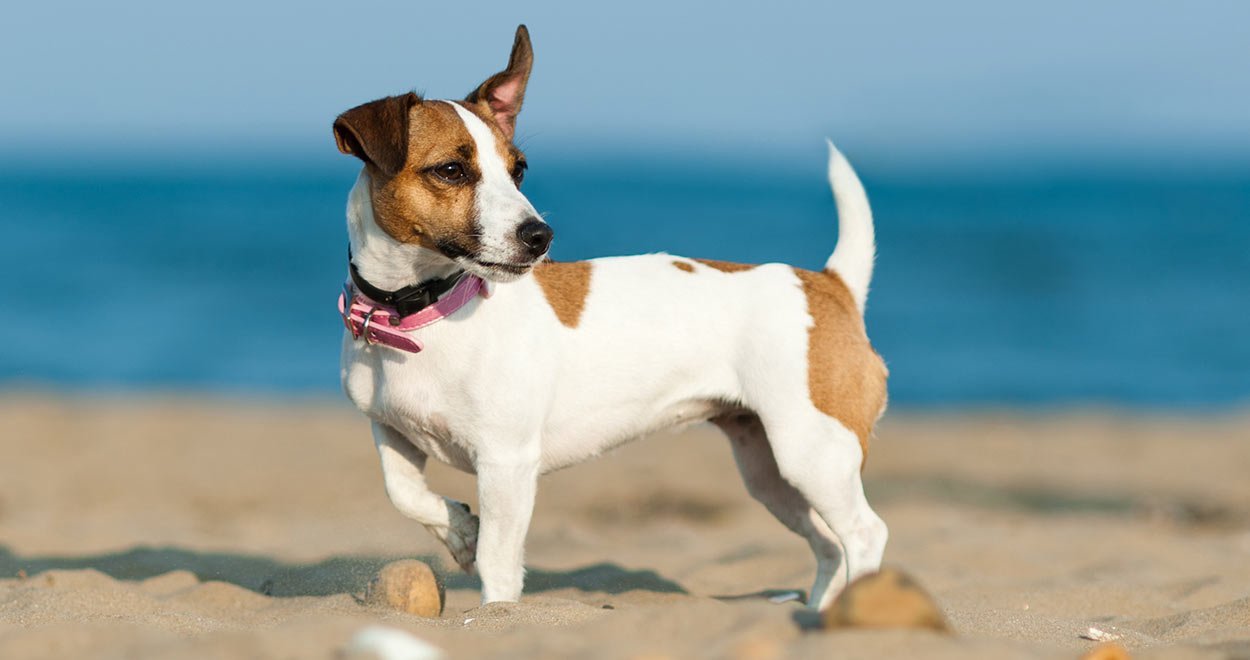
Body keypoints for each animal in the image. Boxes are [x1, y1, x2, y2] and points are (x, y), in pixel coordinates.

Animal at [335, 27, 890, 612]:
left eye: (518, 170)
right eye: (450, 170)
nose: (540, 236)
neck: (417, 311)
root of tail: (829, 284)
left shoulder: (507, 463)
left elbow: (498, 564)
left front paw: (494, 612)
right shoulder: (392, 433)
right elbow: (405, 494)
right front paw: (460, 531)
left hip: (812, 452)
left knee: (863, 534)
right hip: (772, 471)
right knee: (828, 544)